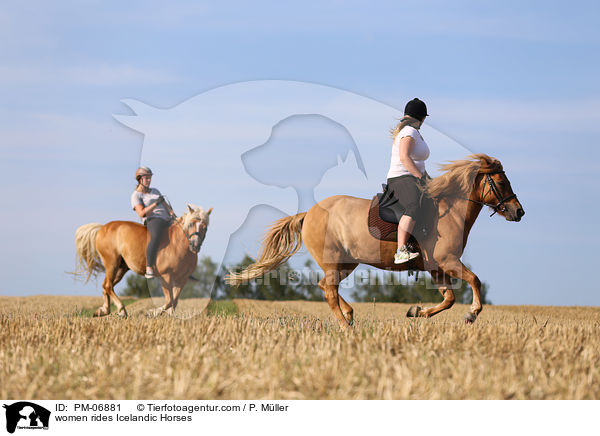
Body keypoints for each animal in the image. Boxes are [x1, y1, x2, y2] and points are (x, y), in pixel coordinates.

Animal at [74, 204, 212, 316]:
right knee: (108, 285)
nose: (195, 245)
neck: (179, 245)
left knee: (106, 285)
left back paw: (103, 310)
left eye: (205, 227)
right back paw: (121, 310)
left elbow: (174, 302)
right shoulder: (166, 276)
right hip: (111, 263)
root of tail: (102, 228)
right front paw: (153, 312)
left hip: (121, 268)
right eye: (190, 224)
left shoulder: (182, 279)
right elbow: (169, 301)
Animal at [227, 155, 524, 328]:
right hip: (334, 261)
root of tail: (308, 213)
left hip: (347, 263)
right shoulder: (448, 261)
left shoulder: (437, 268)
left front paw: (417, 311)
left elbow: (449, 299)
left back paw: (349, 315)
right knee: (328, 290)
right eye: (501, 182)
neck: (448, 210)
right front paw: (472, 313)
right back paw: (345, 325)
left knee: (326, 286)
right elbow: (474, 281)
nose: (519, 212)